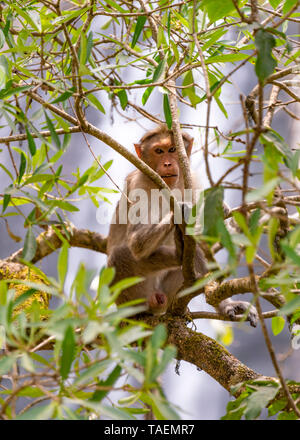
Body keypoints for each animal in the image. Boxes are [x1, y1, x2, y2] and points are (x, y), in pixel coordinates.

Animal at [106, 125, 258, 324]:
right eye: (158, 151)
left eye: (172, 149)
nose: (167, 164)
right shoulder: (138, 184)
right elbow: (136, 242)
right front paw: (181, 212)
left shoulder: (191, 179)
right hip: (131, 295)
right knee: (120, 255)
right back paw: (178, 254)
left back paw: (222, 303)